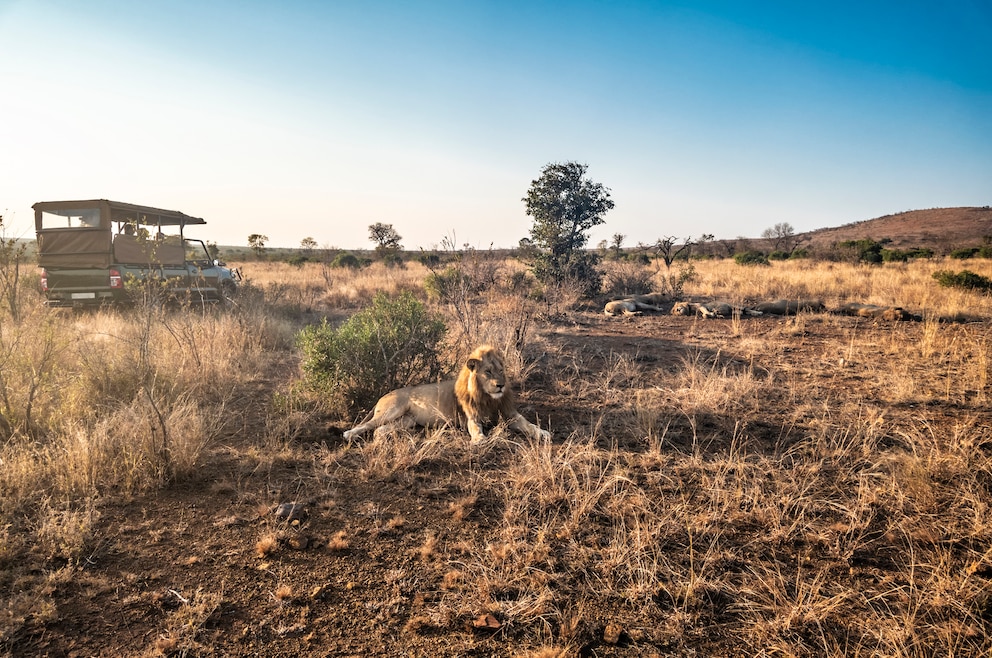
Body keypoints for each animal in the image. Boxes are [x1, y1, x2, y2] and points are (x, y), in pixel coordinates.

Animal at [342, 344, 552, 440]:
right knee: (368, 425)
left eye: (501, 370)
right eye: (488, 372)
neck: (488, 398)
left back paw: (387, 437)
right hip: (392, 410)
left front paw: (543, 433)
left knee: (379, 429)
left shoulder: (510, 415)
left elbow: (528, 424)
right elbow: (476, 428)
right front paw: (480, 439)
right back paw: (349, 434)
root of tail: (383, 396)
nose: (500, 385)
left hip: (406, 420)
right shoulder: (472, 417)